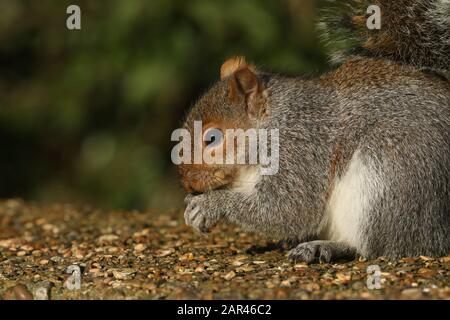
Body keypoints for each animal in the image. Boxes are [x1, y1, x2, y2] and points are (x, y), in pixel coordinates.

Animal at [178, 0, 448, 262]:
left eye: (212, 138)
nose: (188, 184)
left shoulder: (300, 151)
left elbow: (289, 208)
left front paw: (209, 204)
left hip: (391, 175)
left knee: (379, 245)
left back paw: (323, 247)